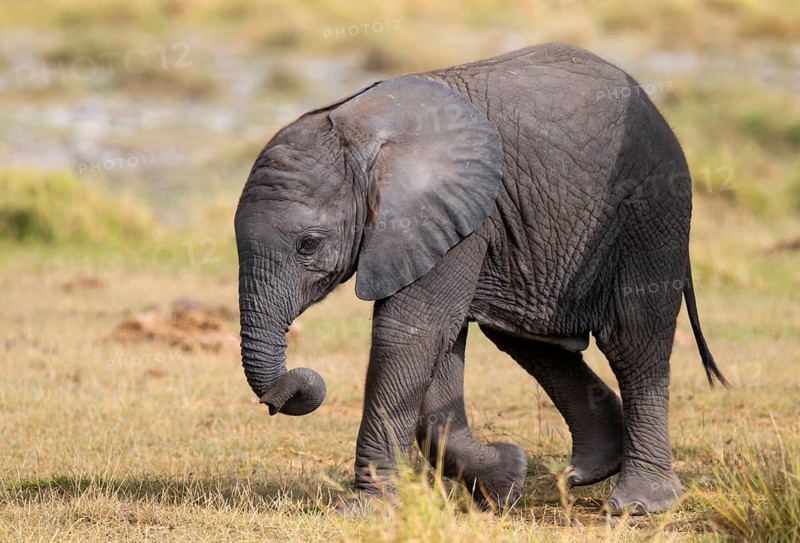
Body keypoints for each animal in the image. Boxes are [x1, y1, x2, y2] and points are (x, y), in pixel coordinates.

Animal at [234, 43, 726, 515]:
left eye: (308, 245)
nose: (291, 390)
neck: (360, 133)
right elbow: (440, 343)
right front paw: (506, 481)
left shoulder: (453, 215)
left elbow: (409, 332)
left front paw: (365, 511)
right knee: (530, 341)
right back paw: (587, 471)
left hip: (651, 210)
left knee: (633, 340)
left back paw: (640, 503)